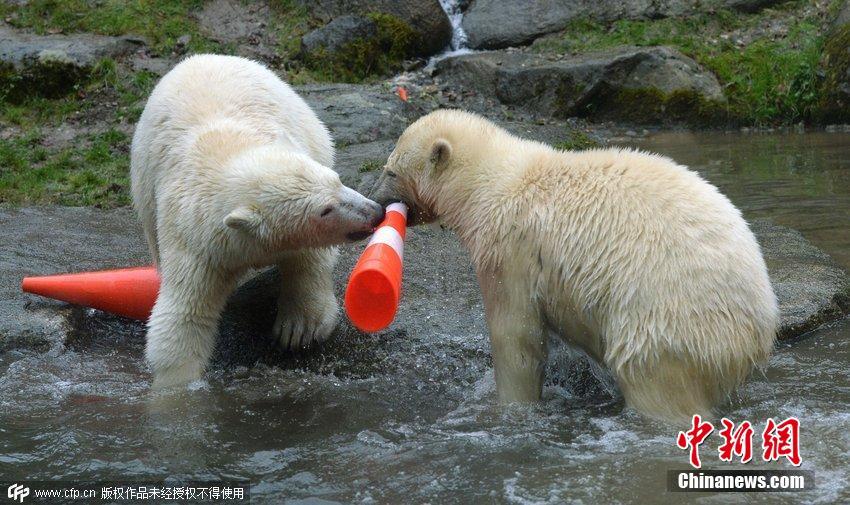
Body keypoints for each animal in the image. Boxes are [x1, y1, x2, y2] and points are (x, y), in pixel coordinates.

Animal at [131, 54, 382, 386]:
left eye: (338, 180)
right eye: (325, 209)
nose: (375, 210)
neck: (227, 154)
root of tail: (198, 57)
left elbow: (309, 259)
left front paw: (299, 329)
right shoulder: (195, 241)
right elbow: (185, 314)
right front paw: (178, 385)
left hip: (308, 125)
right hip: (144, 190)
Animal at [368, 110, 780, 422]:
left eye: (390, 171)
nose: (375, 203)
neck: (492, 182)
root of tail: (757, 326)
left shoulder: (509, 250)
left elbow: (517, 336)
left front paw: (511, 407)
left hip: (666, 324)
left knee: (653, 380)